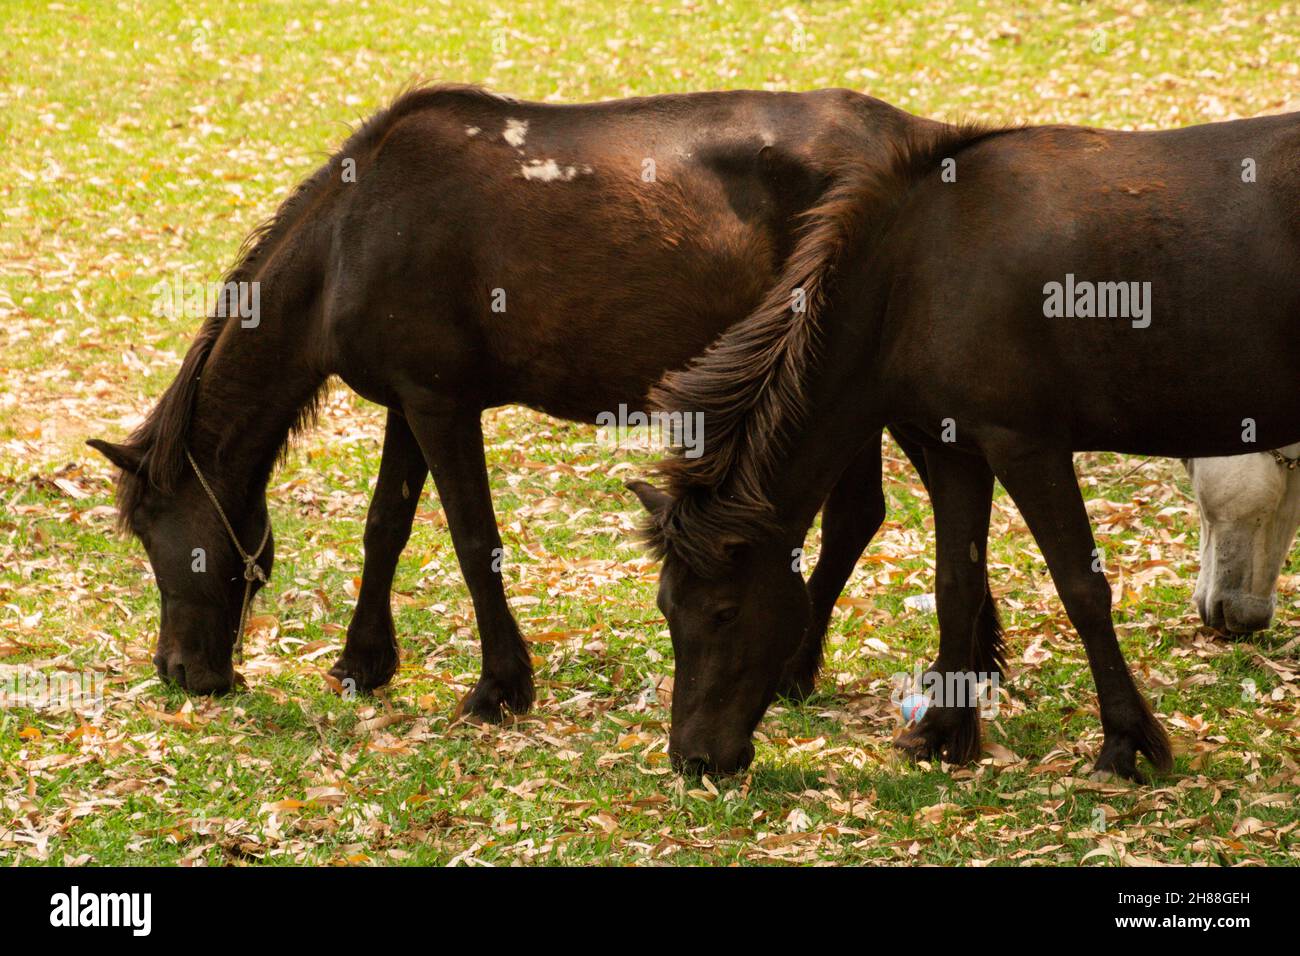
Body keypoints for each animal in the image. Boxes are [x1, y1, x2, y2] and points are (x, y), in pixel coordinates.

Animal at [87, 83, 1003, 720]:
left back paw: (809, 669)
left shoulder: (441, 405)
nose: (180, 672)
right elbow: (386, 528)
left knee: (873, 513)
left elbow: (470, 537)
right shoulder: (409, 404)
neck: (353, 234)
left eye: (157, 539)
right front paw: (364, 662)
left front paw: (500, 687)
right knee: (886, 508)